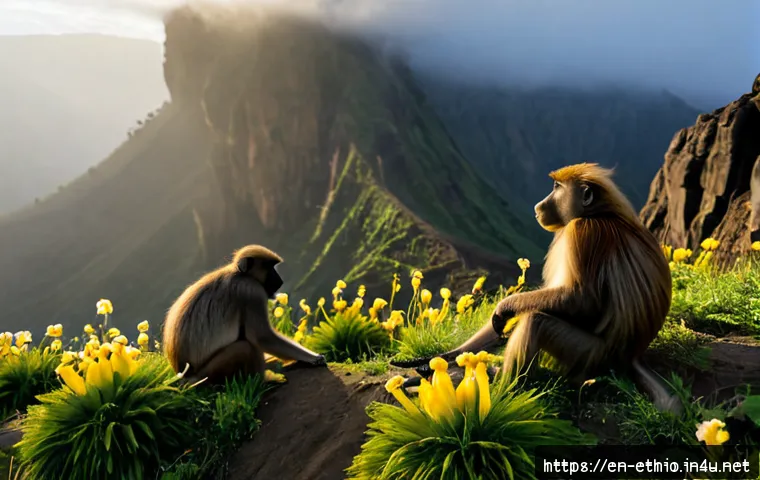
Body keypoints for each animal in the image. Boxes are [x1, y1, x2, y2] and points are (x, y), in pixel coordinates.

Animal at [162, 244, 326, 385]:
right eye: (271, 269)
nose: (280, 280)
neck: (238, 274)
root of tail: (183, 376)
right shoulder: (252, 291)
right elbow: (262, 338)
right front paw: (313, 358)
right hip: (207, 375)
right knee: (245, 347)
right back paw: (264, 380)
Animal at [391, 163, 682, 414]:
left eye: (556, 188)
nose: (538, 205)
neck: (597, 213)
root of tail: (631, 355)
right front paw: (434, 361)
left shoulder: (582, 232)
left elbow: (581, 299)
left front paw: (504, 307)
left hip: (593, 357)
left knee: (536, 321)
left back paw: (500, 390)